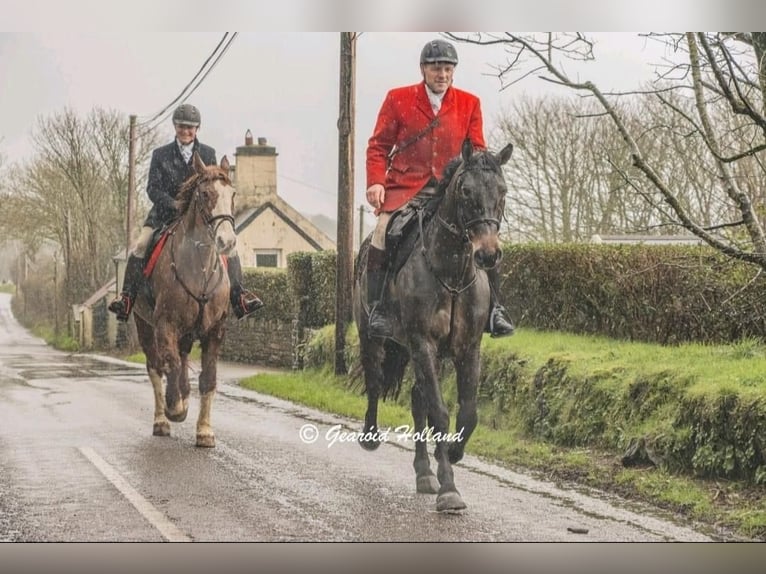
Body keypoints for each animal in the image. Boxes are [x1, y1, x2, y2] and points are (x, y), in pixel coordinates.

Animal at [133, 153, 237, 450]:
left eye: (233, 194)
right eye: (205, 194)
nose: (227, 242)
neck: (199, 269)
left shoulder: (215, 331)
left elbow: (208, 379)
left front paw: (204, 431)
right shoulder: (165, 325)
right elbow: (170, 365)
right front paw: (175, 409)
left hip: (188, 332)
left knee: (179, 361)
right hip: (145, 327)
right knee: (156, 368)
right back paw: (162, 419)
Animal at [356, 140, 516, 512]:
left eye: (502, 190)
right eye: (466, 190)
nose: (488, 255)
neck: (452, 271)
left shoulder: (467, 348)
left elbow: (468, 413)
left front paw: (454, 455)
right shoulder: (423, 343)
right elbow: (440, 413)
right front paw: (449, 489)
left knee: (418, 400)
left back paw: (424, 473)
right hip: (374, 337)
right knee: (374, 381)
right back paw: (371, 437)